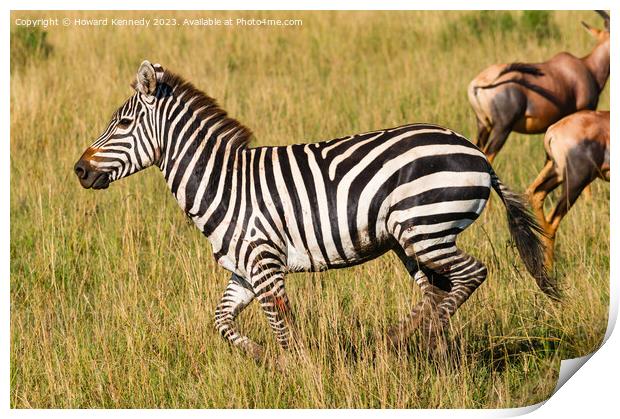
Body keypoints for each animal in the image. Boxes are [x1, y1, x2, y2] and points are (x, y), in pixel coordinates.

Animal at [75, 60, 560, 364]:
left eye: (122, 124)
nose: (79, 170)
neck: (222, 183)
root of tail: (477, 154)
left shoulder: (266, 264)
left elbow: (282, 326)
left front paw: (297, 372)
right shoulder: (242, 273)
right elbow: (220, 322)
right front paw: (260, 357)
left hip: (427, 228)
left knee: (471, 276)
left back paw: (409, 339)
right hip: (412, 239)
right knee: (438, 292)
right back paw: (417, 349)